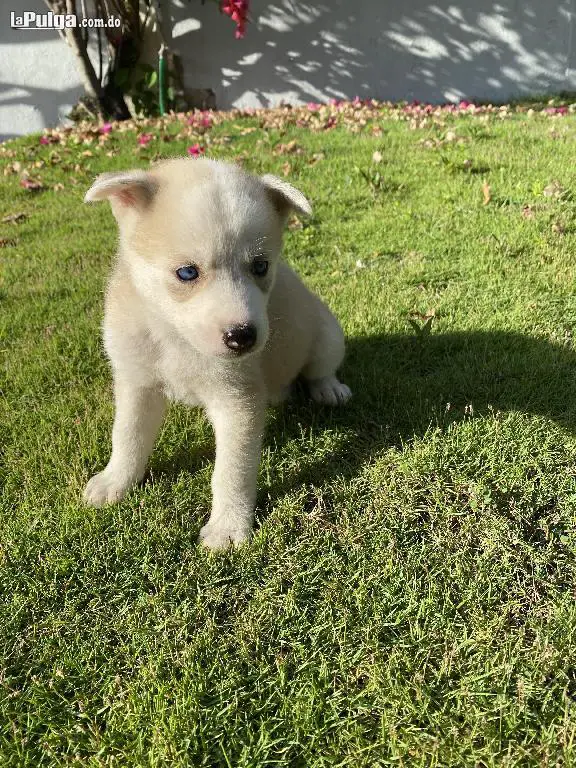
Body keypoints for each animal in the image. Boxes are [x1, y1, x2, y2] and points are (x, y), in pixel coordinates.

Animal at [82, 159, 348, 548]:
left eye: (261, 266)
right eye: (187, 272)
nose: (243, 337)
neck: (175, 338)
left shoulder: (237, 401)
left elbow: (231, 470)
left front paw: (227, 527)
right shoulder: (136, 382)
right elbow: (127, 434)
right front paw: (115, 481)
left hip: (328, 331)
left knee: (320, 367)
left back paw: (329, 388)